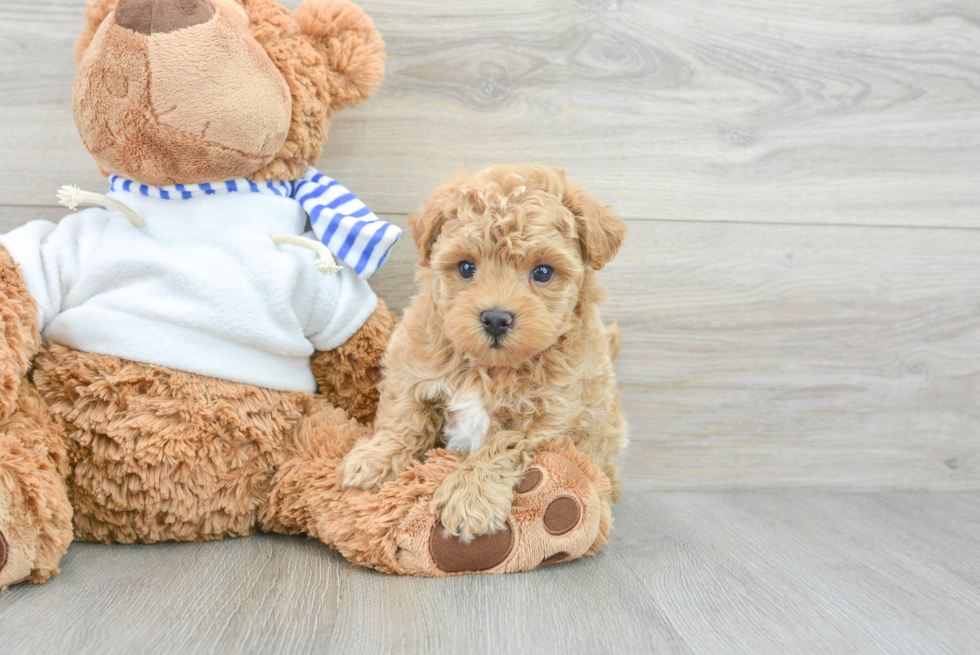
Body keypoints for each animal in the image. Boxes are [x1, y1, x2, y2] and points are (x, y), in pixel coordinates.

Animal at [340, 165, 628, 544]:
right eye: (466, 268)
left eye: (543, 272)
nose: (495, 318)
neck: (488, 368)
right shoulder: (411, 364)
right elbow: (404, 419)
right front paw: (372, 462)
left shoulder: (552, 416)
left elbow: (502, 445)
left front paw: (469, 498)